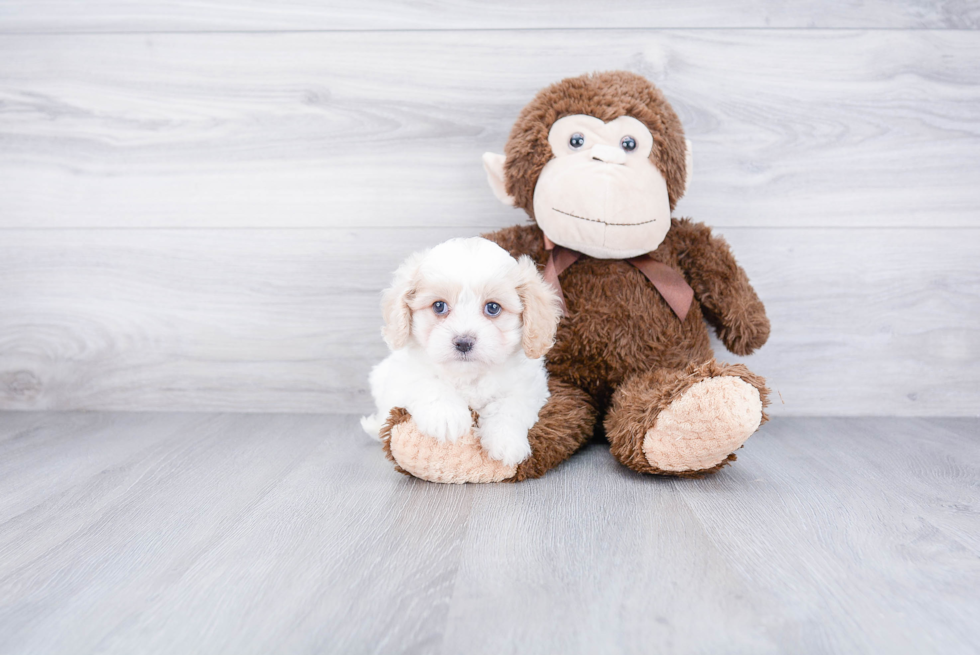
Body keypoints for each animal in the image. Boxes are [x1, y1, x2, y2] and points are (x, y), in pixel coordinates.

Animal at [360, 238, 560, 468]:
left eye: (493, 308)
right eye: (439, 306)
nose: (464, 342)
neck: (467, 374)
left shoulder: (528, 387)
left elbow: (510, 407)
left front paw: (507, 442)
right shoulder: (404, 373)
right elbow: (428, 383)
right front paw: (447, 417)